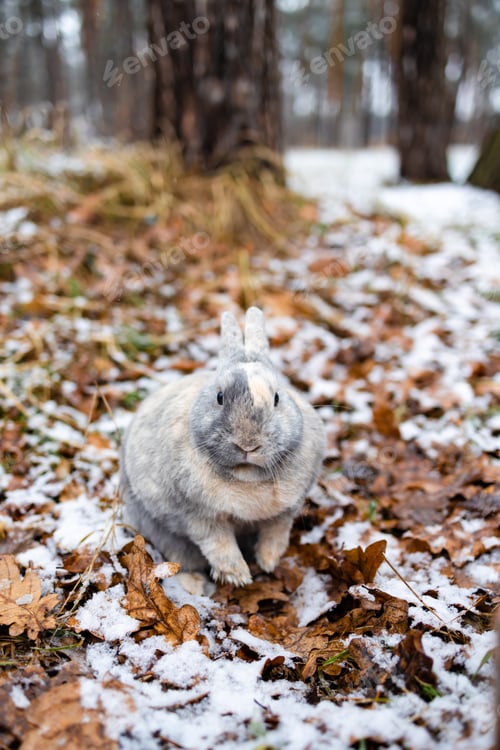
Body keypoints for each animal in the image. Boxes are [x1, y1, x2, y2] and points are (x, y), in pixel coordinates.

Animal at [120, 307, 325, 586]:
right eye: (219, 397)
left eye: (277, 398)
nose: (248, 444)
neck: (247, 476)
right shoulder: (199, 517)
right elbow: (220, 546)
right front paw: (239, 577)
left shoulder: (284, 514)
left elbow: (274, 536)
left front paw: (268, 562)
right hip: (158, 527)